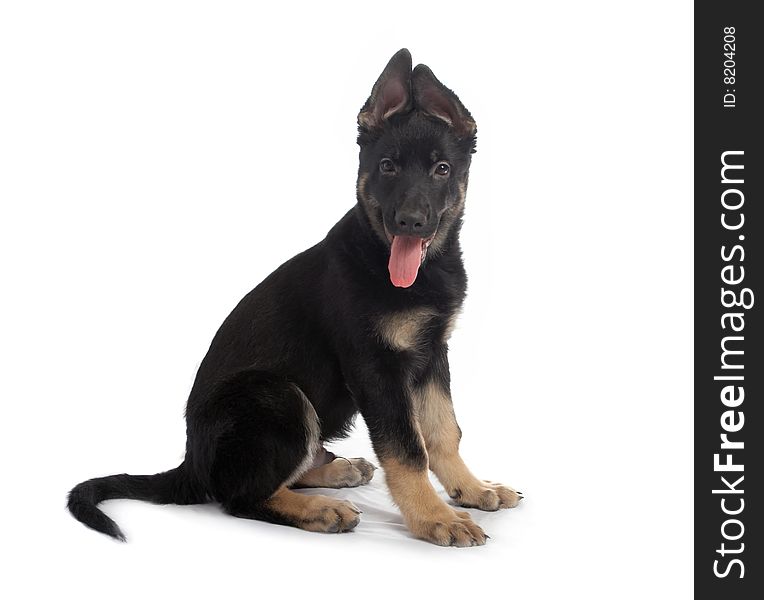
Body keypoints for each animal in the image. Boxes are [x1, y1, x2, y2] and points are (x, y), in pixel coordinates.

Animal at [67, 49, 520, 548]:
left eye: (442, 170)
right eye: (387, 166)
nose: (410, 222)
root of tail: (191, 466)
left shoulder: (431, 353)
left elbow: (443, 431)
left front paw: (471, 489)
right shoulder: (375, 366)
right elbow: (407, 448)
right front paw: (432, 517)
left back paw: (336, 471)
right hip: (278, 395)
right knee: (239, 495)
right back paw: (319, 509)